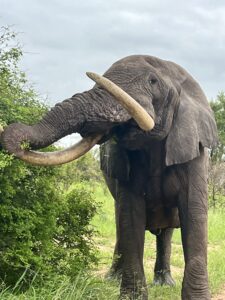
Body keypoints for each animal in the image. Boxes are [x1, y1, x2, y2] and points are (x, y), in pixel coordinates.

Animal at [0, 55, 217, 298]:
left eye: (153, 81)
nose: (10, 128)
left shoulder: (194, 151)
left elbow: (194, 214)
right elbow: (130, 217)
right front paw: (131, 297)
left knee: (166, 231)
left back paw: (164, 283)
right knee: (121, 224)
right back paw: (113, 278)